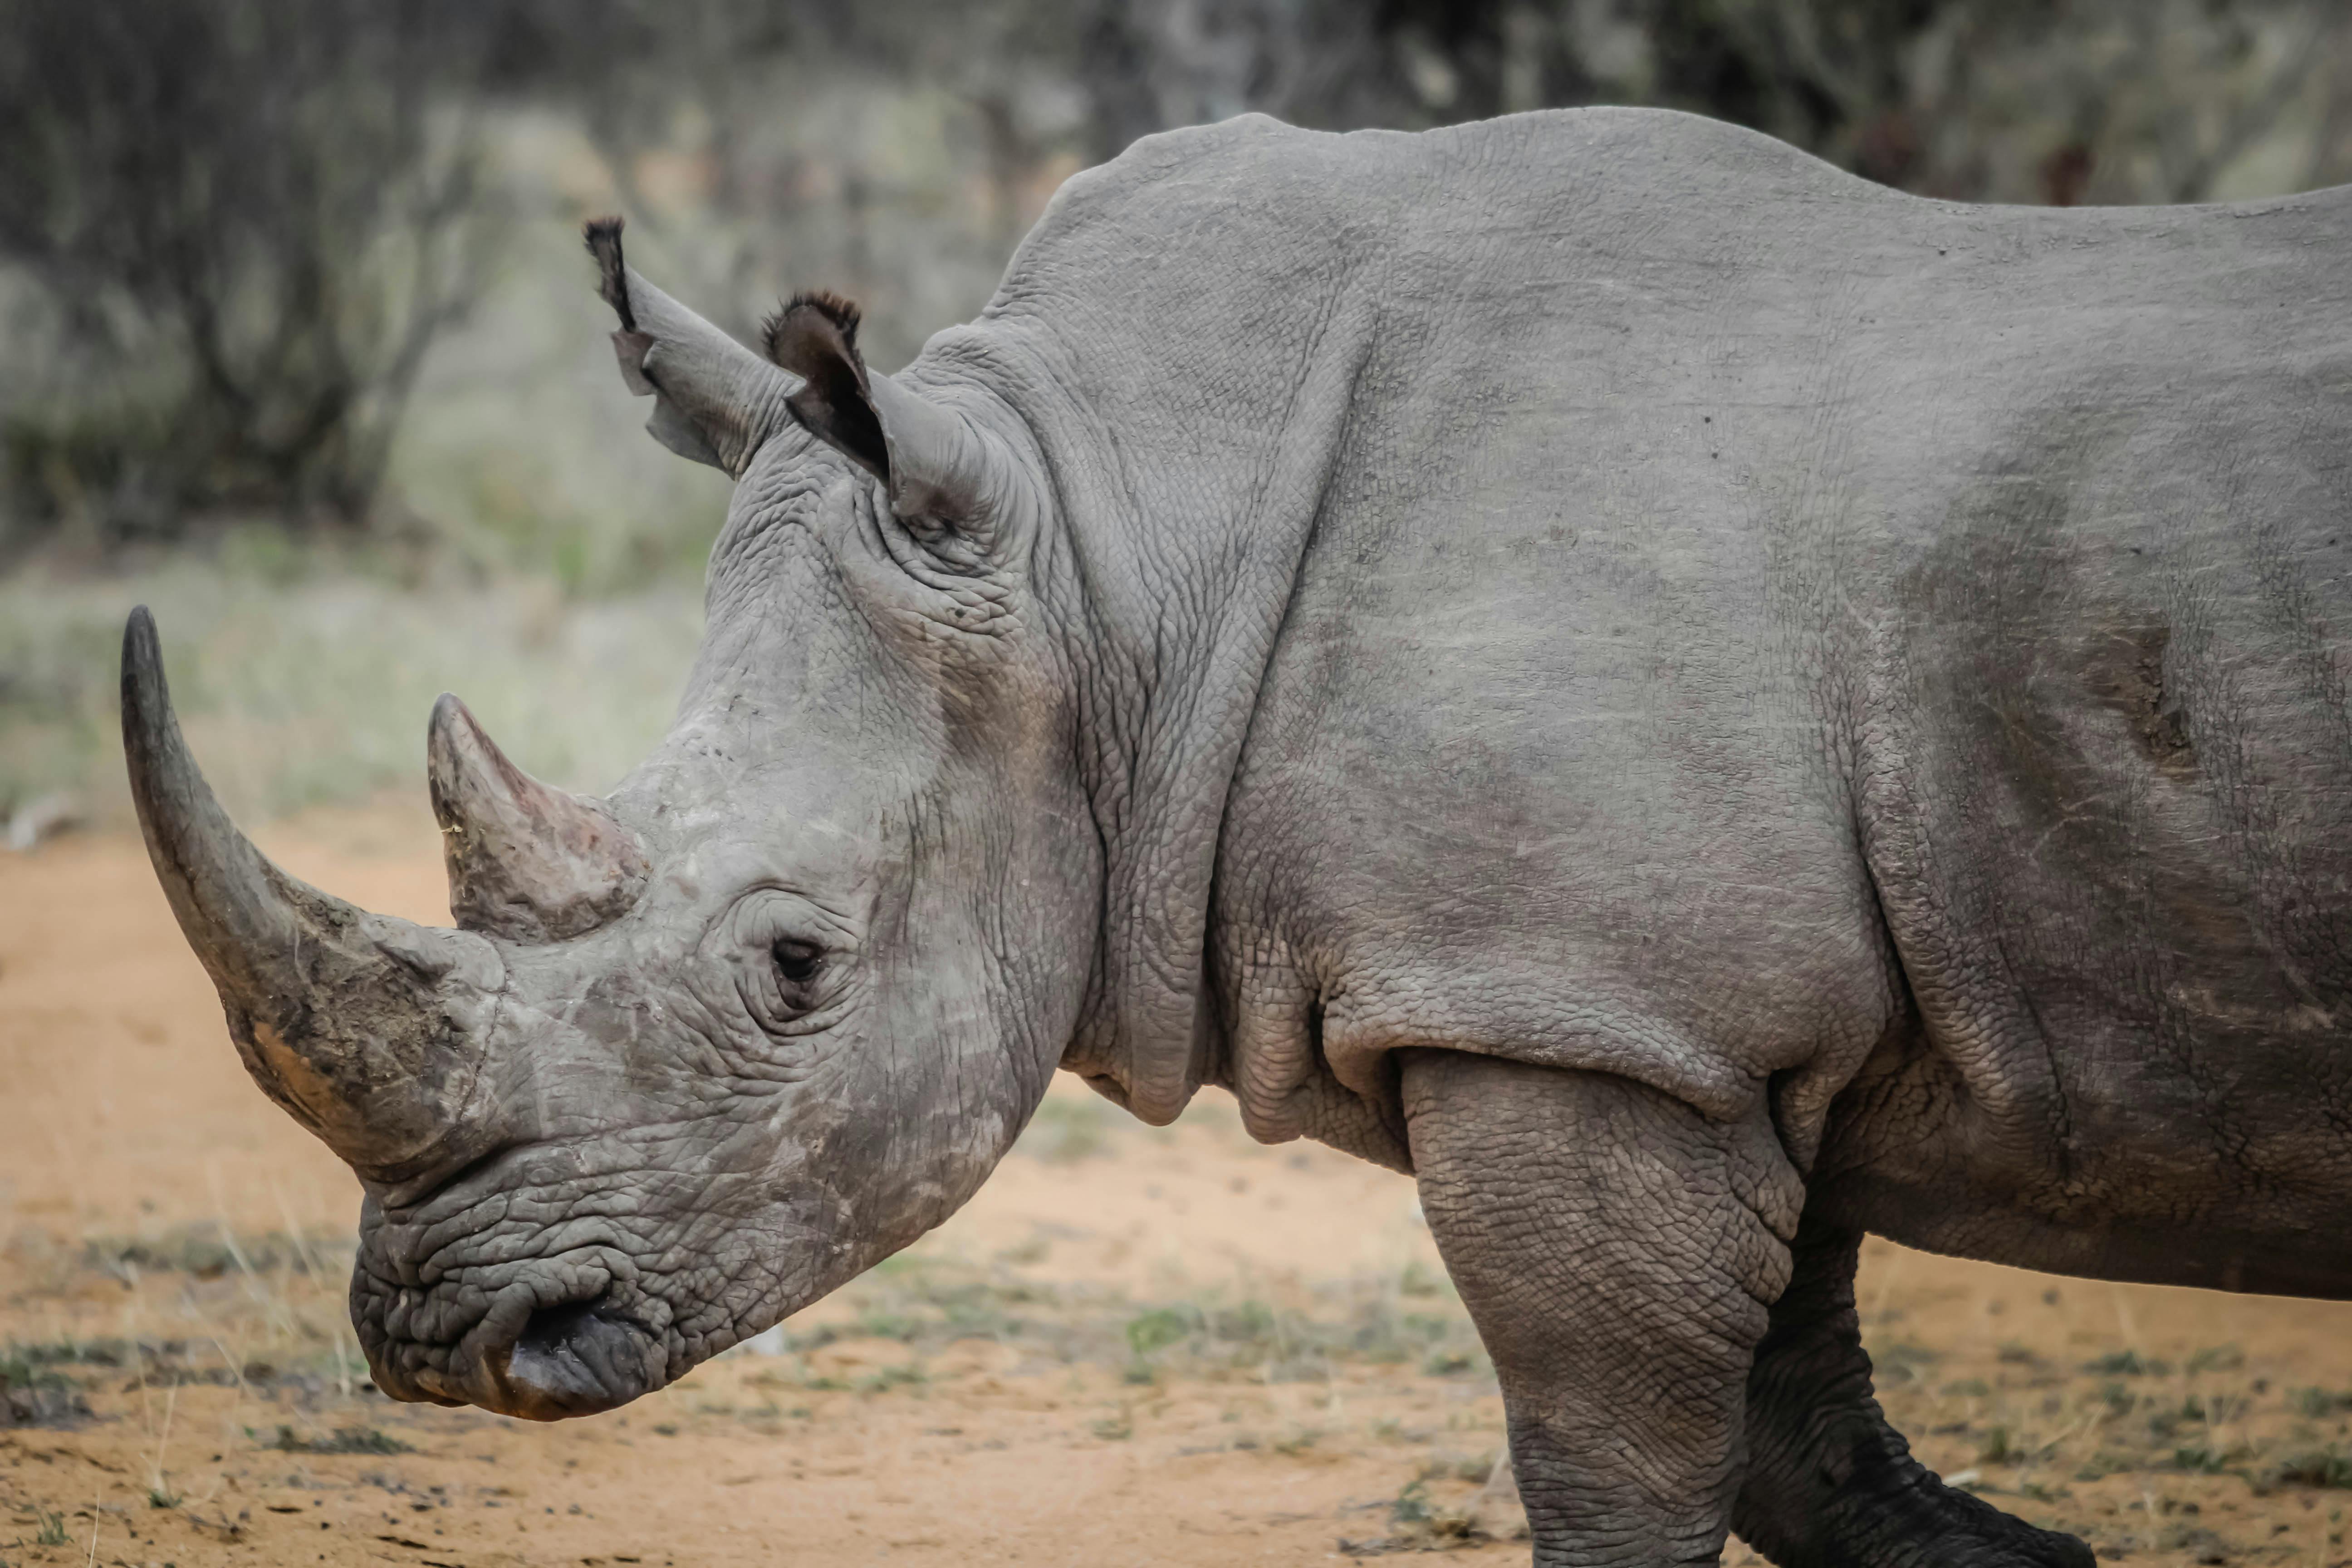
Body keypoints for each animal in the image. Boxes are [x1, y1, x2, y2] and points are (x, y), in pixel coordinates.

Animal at [121, 105, 2352, 1566]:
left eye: (793, 966)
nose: (442, 1338)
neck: (1106, 545)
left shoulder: (1573, 1007)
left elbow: (1622, 1451)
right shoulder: (1692, 1005)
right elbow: (1791, 1402)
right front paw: (2019, 1562)